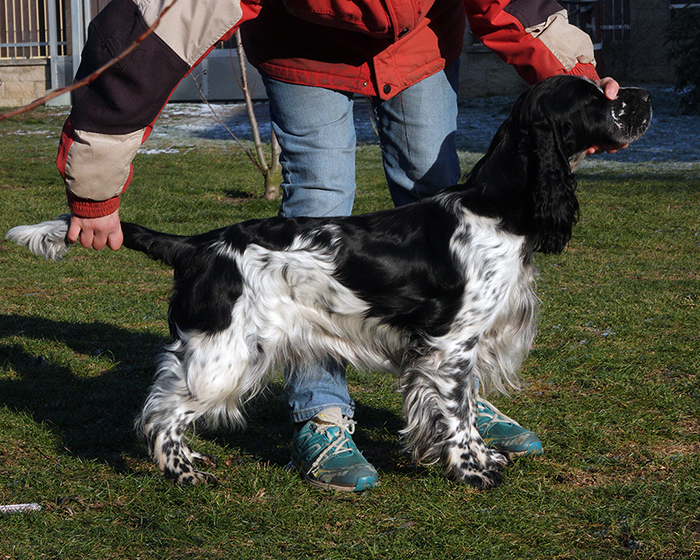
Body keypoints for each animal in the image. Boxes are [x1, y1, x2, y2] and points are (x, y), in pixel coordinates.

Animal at [4, 74, 652, 486]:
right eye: (596, 101)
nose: (642, 96)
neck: (495, 205)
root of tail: (198, 245)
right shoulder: (449, 347)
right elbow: (459, 413)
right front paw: (473, 469)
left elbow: (455, 410)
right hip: (225, 353)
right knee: (159, 413)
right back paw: (184, 472)